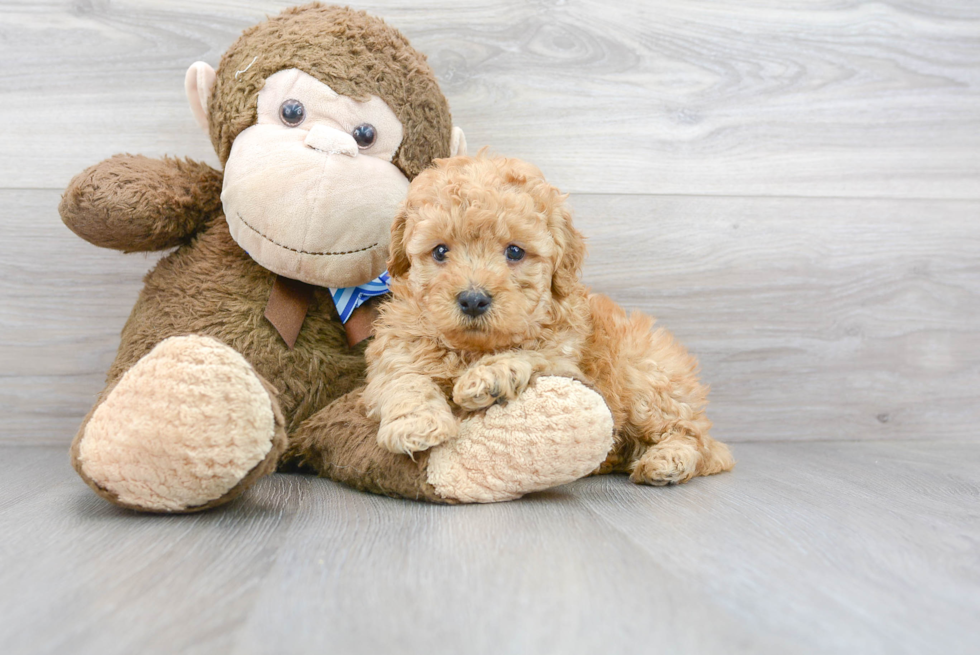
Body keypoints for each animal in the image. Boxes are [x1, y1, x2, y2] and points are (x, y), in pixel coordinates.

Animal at [364, 155, 732, 486]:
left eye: (514, 252)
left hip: (645, 379)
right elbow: (405, 379)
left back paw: (667, 460)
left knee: (694, 436)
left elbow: (532, 354)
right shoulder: (396, 348)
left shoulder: (566, 358)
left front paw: (489, 376)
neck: (473, 348)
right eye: (440, 251)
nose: (473, 299)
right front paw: (416, 424)